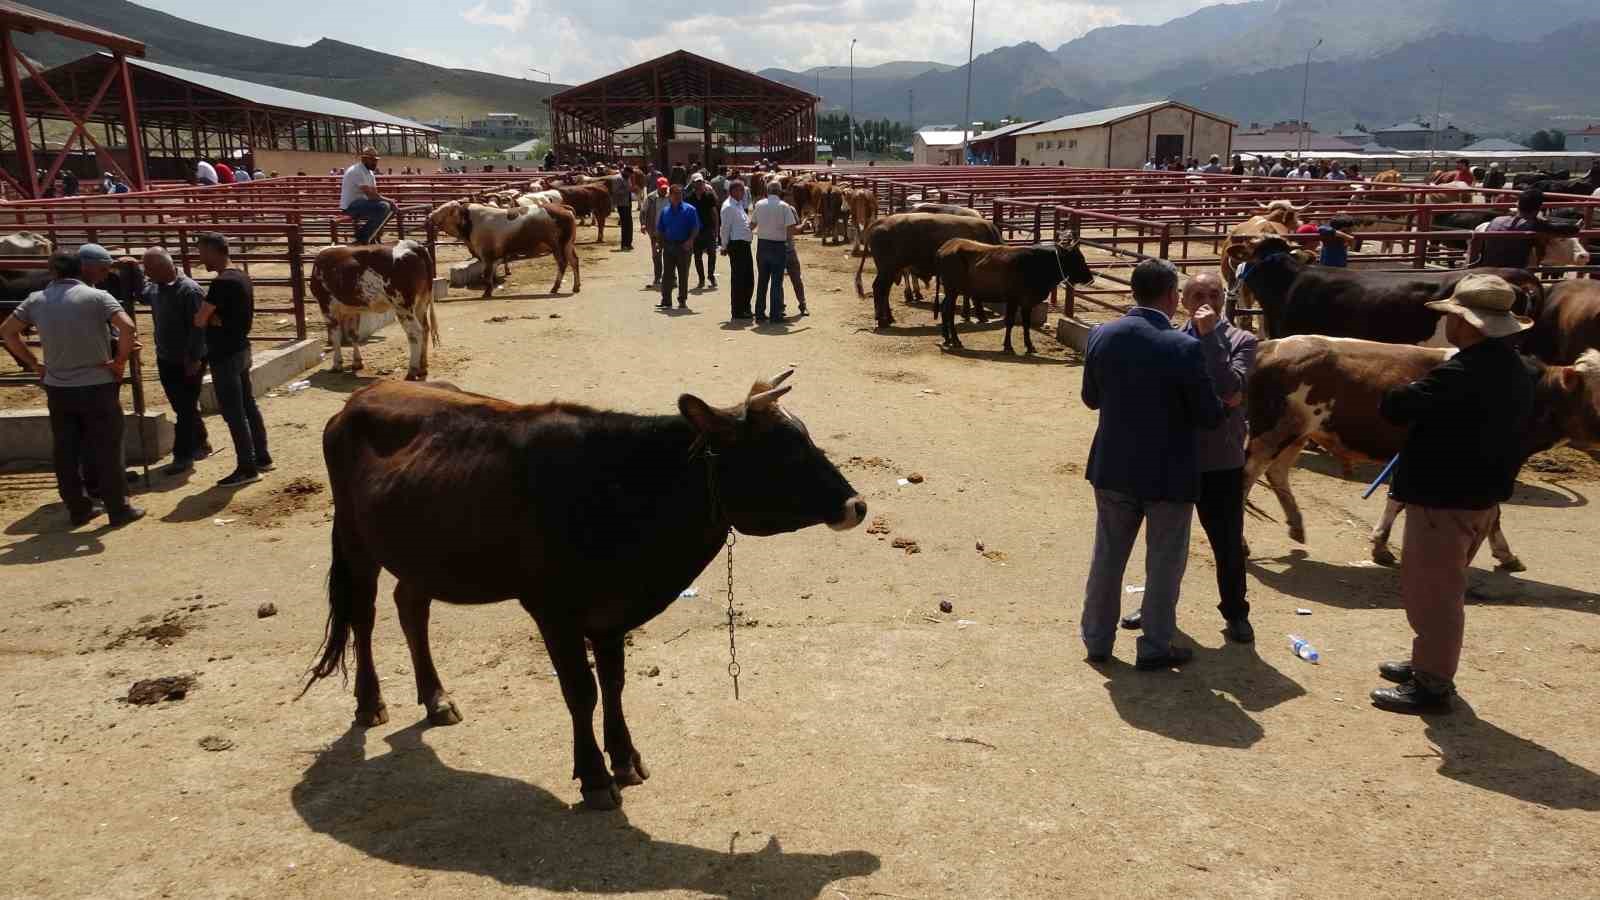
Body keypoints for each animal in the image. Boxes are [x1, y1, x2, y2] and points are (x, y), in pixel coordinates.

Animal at [305, 369, 870, 807]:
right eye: (783, 453)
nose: (857, 505)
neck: (620, 488)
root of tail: (360, 398)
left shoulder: (611, 610)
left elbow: (614, 684)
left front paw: (626, 759)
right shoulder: (552, 610)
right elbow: (581, 690)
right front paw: (595, 777)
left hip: (420, 551)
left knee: (410, 605)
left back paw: (437, 699)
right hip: (355, 539)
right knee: (364, 616)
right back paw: (370, 701)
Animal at [308, 238, 438, 377]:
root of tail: (414, 245)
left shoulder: (326, 306)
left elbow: (335, 336)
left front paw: (337, 365)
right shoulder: (352, 309)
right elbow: (353, 334)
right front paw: (357, 362)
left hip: (402, 306)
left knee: (415, 332)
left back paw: (412, 370)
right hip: (421, 303)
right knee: (425, 329)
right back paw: (422, 367)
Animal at [425, 199, 582, 297]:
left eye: (445, 209)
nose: (430, 215)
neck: (470, 221)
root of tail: (563, 208)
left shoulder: (486, 255)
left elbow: (487, 274)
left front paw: (487, 292)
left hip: (558, 246)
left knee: (563, 264)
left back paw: (555, 287)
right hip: (568, 245)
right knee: (574, 261)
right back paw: (576, 286)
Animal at [934, 240, 1094, 352]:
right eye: (1077, 259)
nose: (1090, 278)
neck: (1037, 265)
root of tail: (946, 247)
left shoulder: (1027, 302)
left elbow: (1026, 323)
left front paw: (1030, 346)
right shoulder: (1013, 299)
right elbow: (1010, 322)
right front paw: (1008, 346)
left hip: (950, 292)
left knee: (944, 309)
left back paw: (947, 339)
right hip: (952, 290)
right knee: (949, 313)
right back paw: (956, 340)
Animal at [1241, 333, 1600, 570]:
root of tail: (1270, 345)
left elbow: (1399, 500)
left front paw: (1381, 546)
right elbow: (1493, 512)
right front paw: (1506, 554)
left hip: (1298, 434)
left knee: (1277, 474)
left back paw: (1296, 525)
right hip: (1273, 434)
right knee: (1246, 478)